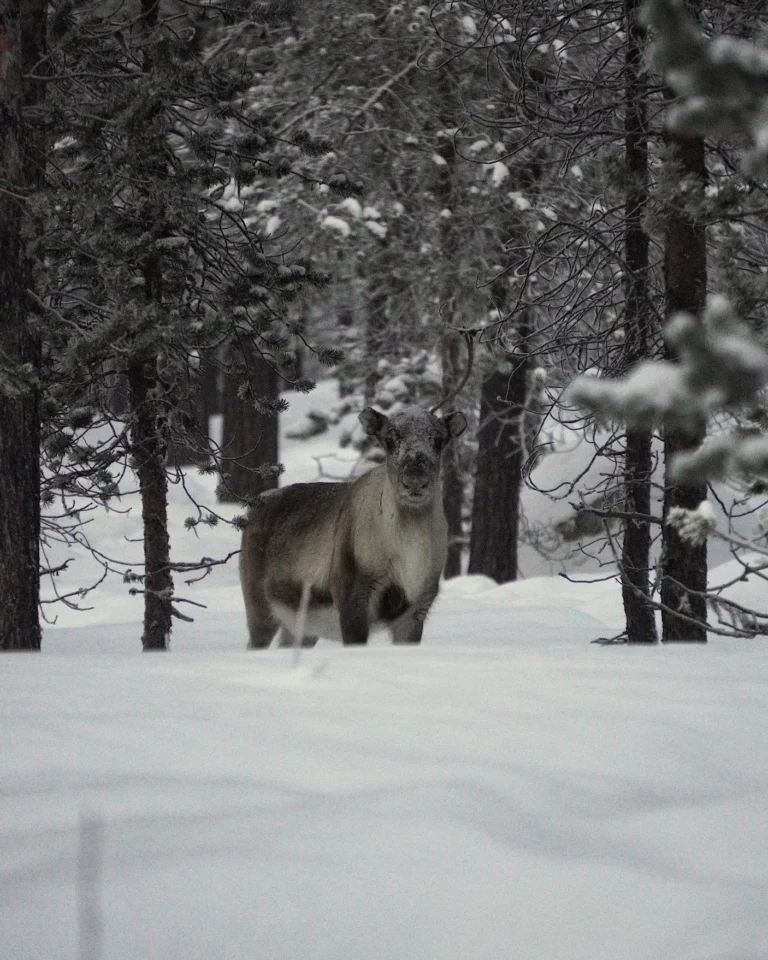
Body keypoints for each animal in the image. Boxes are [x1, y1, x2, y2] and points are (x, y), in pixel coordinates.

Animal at [239, 351, 472, 648]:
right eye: (389, 440)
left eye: (439, 440)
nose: (414, 482)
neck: (410, 553)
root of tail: (254, 508)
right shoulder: (352, 597)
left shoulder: (416, 608)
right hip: (259, 608)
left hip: (301, 628)